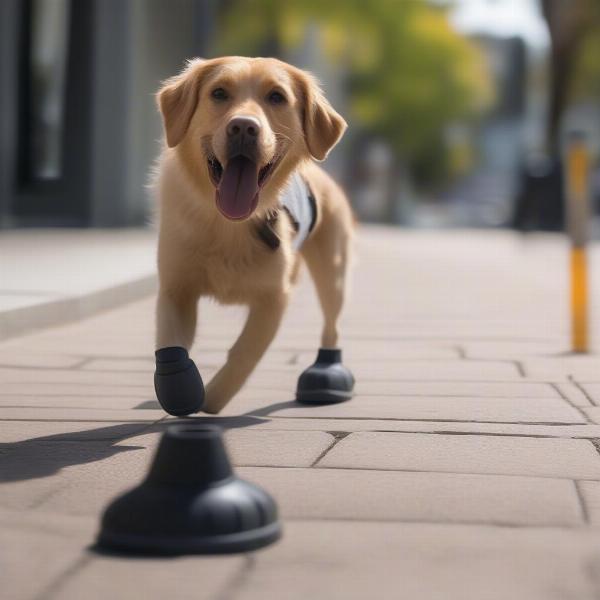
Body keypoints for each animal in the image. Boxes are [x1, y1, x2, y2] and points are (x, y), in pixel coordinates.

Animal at [152, 57, 354, 418]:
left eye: (276, 97)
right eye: (219, 93)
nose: (244, 127)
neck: (226, 224)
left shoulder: (274, 297)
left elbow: (245, 352)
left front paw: (212, 398)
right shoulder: (175, 286)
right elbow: (171, 343)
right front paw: (182, 389)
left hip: (334, 273)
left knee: (332, 326)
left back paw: (326, 375)